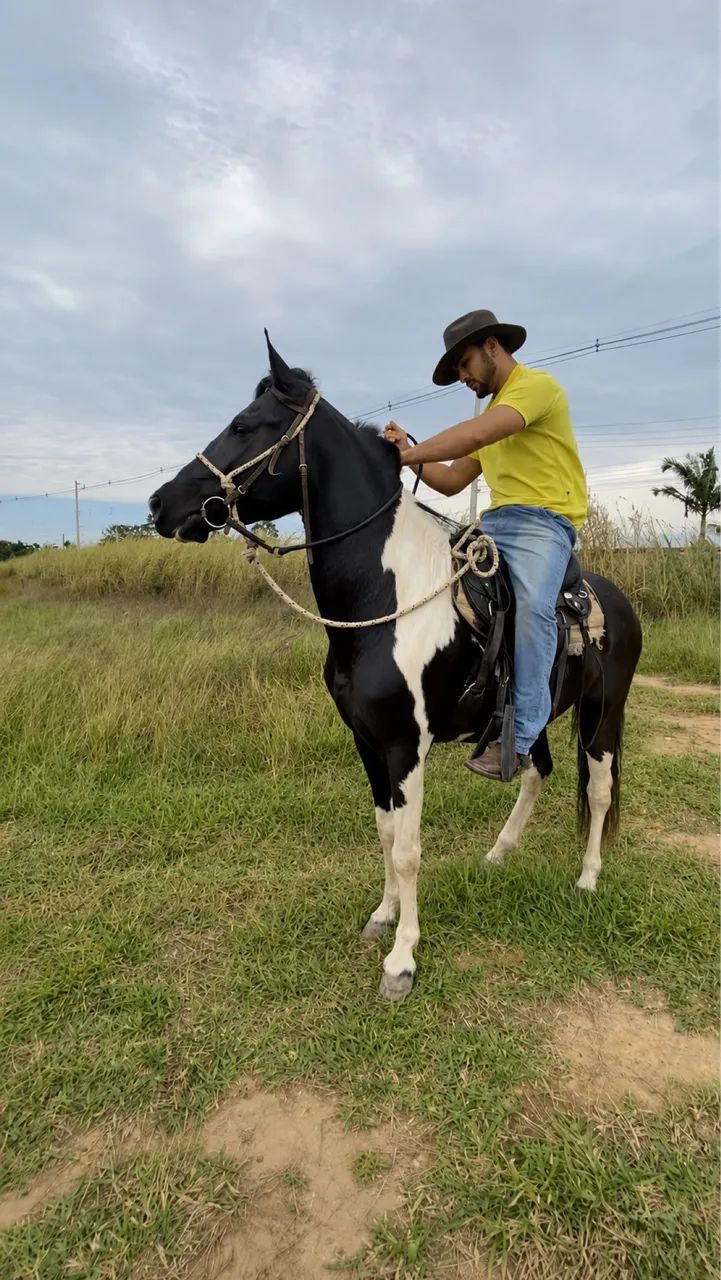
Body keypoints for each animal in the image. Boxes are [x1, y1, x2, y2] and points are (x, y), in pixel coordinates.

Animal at [149, 335, 643, 1000]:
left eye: (244, 425)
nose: (160, 503)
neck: (384, 598)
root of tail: (615, 600)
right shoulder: (366, 741)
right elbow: (385, 832)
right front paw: (382, 916)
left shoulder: (406, 745)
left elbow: (409, 849)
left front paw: (402, 960)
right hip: (534, 717)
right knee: (536, 771)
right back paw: (499, 854)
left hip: (601, 715)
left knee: (597, 787)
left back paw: (588, 878)